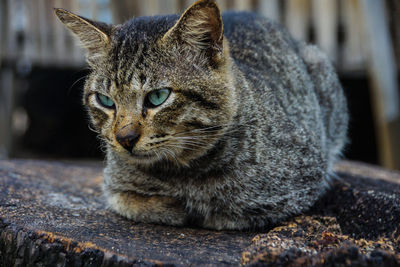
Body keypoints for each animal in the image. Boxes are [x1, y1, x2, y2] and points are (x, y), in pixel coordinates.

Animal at [54, 0, 348, 230]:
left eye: (158, 97)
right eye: (105, 101)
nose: (125, 138)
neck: (183, 174)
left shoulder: (305, 176)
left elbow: (228, 211)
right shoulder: (113, 184)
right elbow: (131, 201)